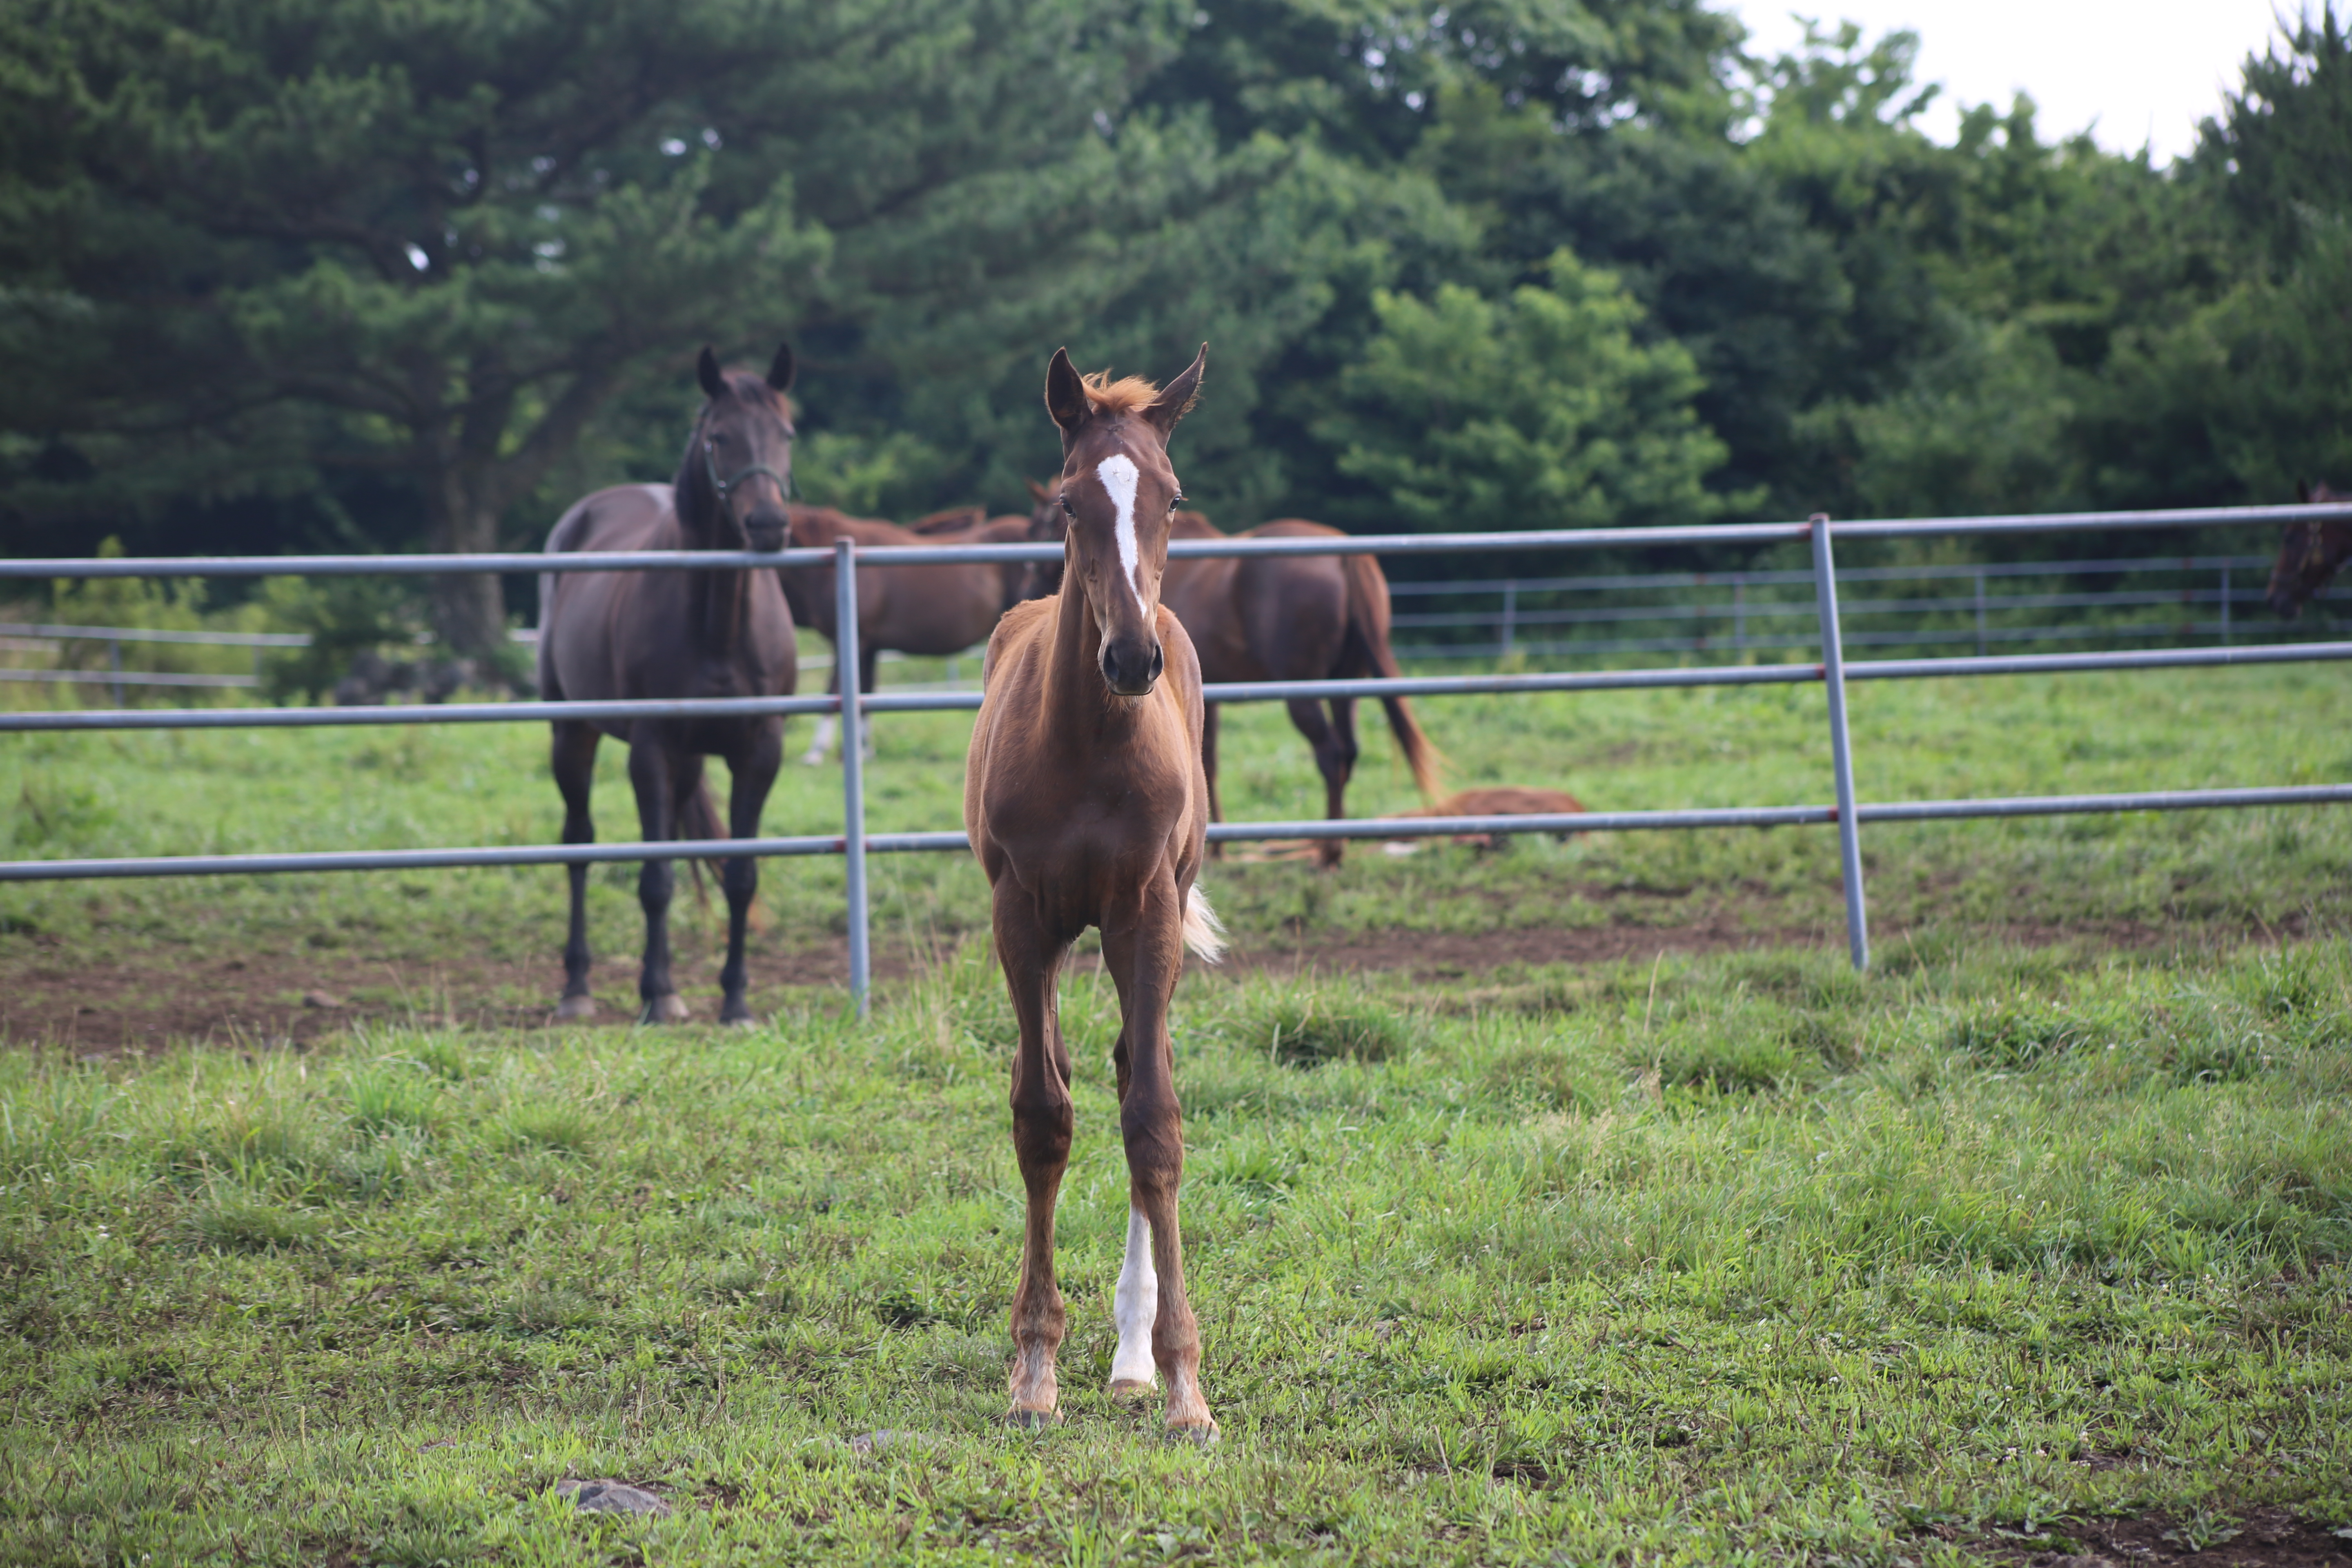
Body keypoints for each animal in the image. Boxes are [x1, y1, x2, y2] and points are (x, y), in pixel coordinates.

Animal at [539, 343, 804, 1025]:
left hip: (689, 759)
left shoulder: (759, 750)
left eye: (786, 433)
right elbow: (655, 879)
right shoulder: (652, 747)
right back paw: (578, 988)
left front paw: (735, 999)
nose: (768, 524)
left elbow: (740, 876)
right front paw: (657, 995)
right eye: (719, 437)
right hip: (572, 733)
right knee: (579, 843)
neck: (718, 624)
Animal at [781, 505, 1030, 762]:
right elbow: (865, 691)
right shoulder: (868, 646)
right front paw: (864, 749)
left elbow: (835, 688)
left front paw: (817, 750)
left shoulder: (851, 640)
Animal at [1025, 484, 1439, 865]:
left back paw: (1329, 851)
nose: (1029, 584)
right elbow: (1208, 762)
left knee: (1331, 754)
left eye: (1039, 525)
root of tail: (1342, 555)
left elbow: (1205, 764)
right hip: (1344, 685)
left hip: (1303, 693)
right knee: (1349, 753)